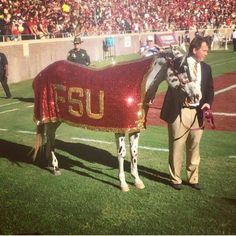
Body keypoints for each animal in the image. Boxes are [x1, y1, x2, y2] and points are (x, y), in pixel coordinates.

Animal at [31, 46, 201, 192]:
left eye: (195, 66)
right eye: (183, 67)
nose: (197, 96)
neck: (138, 84)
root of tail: (40, 74)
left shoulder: (134, 128)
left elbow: (134, 153)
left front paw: (137, 180)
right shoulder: (120, 128)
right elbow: (122, 153)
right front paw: (123, 183)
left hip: (55, 118)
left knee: (50, 136)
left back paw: (50, 163)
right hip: (51, 115)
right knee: (50, 137)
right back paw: (55, 167)